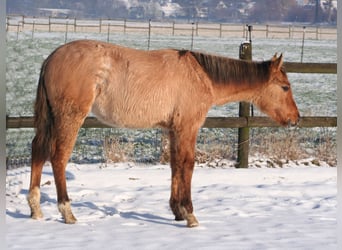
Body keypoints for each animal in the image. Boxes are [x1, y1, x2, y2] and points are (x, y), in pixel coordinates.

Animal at [26, 38, 300, 227]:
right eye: (285, 87)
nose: (296, 119)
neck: (201, 75)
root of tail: (51, 59)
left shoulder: (173, 130)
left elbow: (175, 165)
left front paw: (177, 211)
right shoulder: (188, 128)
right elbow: (187, 165)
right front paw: (190, 214)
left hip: (51, 120)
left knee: (38, 151)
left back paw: (35, 209)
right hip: (69, 118)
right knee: (58, 157)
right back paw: (67, 212)